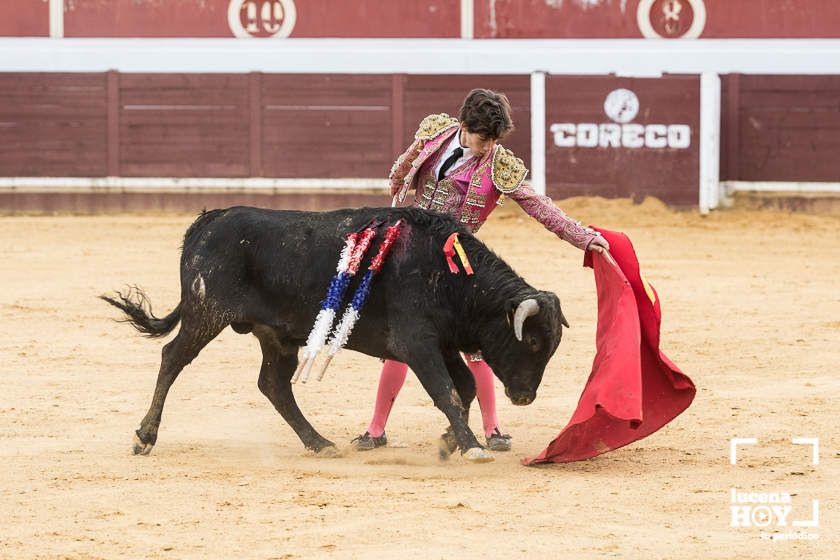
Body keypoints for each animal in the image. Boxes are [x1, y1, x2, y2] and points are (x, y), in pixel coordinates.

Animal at [101, 206, 568, 460]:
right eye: (531, 341)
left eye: (550, 349)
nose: (525, 397)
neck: (449, 273)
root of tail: (210, 220)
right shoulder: (417, 344)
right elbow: (448, 393)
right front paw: (470, 447)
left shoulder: (443, 344)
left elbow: (466, 388)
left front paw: (448, 443)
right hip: (206, 314)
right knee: (173, 358)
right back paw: (145, 437)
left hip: (276, 335)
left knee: (273, 385)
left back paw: (320, 442)